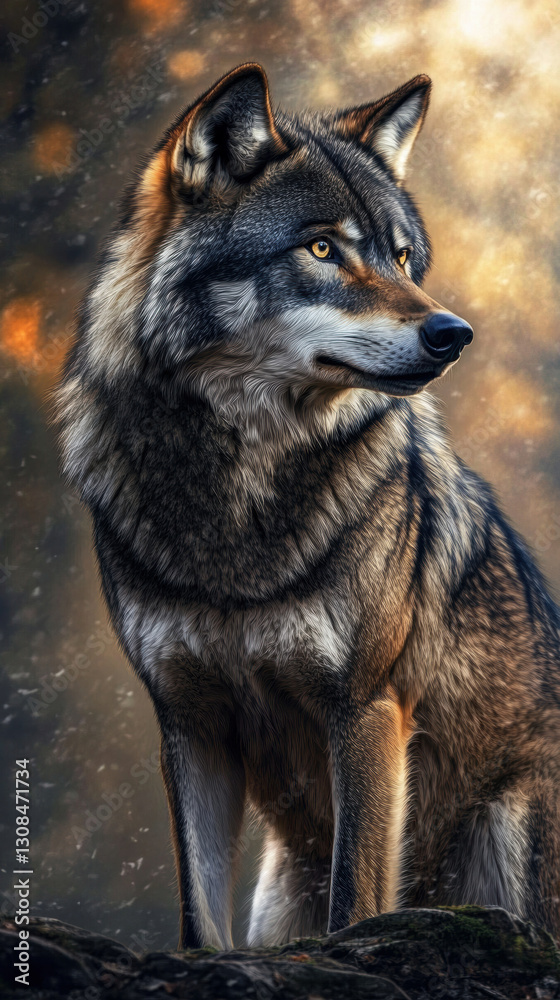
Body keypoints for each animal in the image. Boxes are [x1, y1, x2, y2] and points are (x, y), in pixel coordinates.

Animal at [55, 63, 560, 949]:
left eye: (403, 257)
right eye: (322, 247)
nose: (453, 333)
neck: (237, 492)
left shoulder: (365, 709)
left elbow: (356, 899)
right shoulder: (188, 722)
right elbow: (199, 925)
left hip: (507, 836)